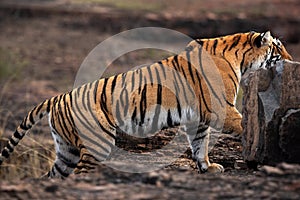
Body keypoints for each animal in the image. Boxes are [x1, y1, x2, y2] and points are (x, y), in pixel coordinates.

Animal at [0, 30, 292, 178]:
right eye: (278, 48)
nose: (291, 59)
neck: (240, 58)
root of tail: (58, 96)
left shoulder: (197, 118)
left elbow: (200, 145)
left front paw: (207, 167)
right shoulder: (222, 108)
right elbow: (243, 125)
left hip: (66, 150)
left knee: (54, 176)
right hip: (95, 145)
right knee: (79, 174)